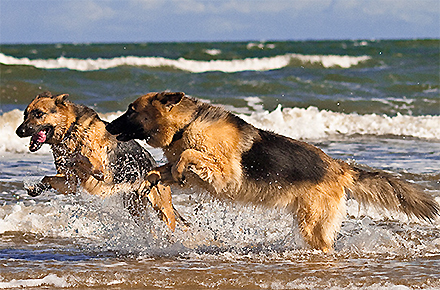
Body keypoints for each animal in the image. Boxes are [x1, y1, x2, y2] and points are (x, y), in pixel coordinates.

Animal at [16, 92, 185, 230]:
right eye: (25, 115)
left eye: (39, 113)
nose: (19, 132)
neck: (71, 129)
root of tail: (154, 166)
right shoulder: (70, 183)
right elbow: (47, 178)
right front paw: (36, 188)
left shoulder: (100, 171)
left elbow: (83, 158)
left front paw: (73, 156)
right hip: (135, 208)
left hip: (163, 210)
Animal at [105, 91, 438, 251]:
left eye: (132, 111)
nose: (107, 127)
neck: (186, 125)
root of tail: (338, 167)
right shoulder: (198, 177)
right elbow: (159, 172)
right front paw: (149, 186)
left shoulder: (223, 173)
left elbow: (187, 155)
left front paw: (176, 169)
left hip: (312, 223)